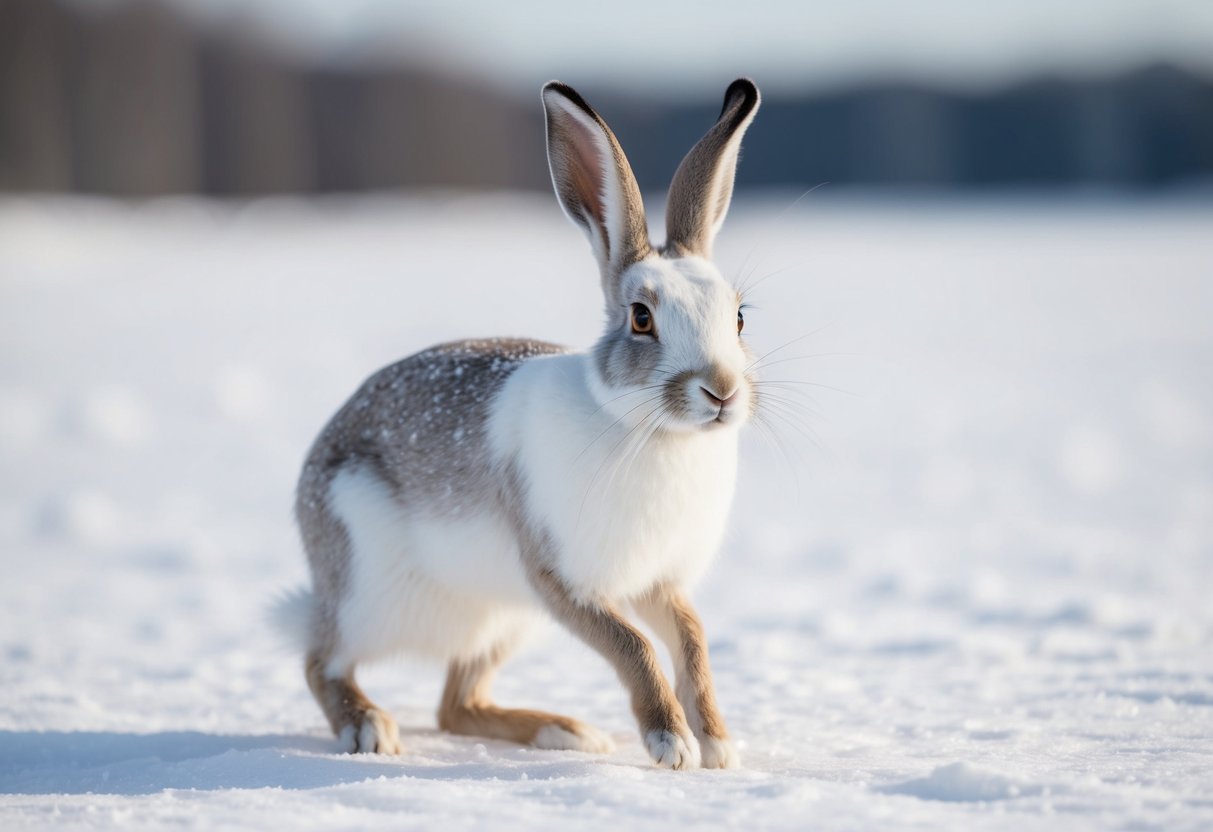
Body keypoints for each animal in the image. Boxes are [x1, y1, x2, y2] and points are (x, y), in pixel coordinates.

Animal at [283, 78, 761, 770]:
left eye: (740, 316)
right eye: (642, 318)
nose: (721, 391)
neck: (646, 429)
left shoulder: (657, 582)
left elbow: (692, 642)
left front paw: (719, 746)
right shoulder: (560, 579)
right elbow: (633, 646)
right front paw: (671, 746)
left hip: (502, 619)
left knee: (456, 704)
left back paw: (564, 730)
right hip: (370, 592)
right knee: (322, 661)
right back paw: (369, 728)